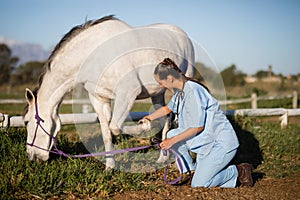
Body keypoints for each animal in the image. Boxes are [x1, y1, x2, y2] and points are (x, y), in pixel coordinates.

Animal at [23, 15, 195, 169]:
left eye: (26, 121)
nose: (32, 156)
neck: (93, 54)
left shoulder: (128, 92)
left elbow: (115, 127)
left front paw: (145, 125)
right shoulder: (99, 98)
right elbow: (107, 133)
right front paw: (110, 167)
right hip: (157, 93)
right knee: (165, 118)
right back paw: (162, 158)